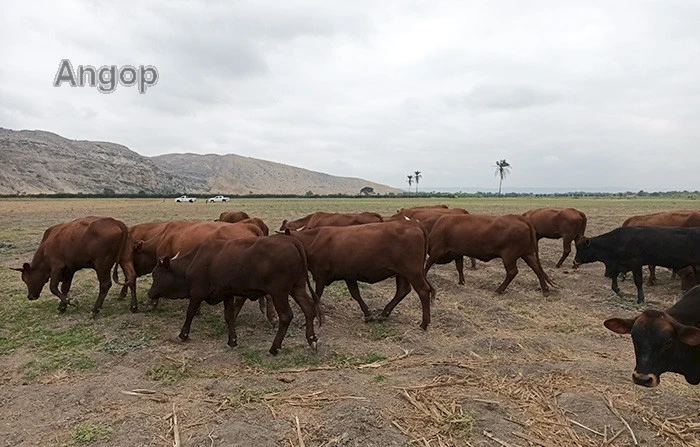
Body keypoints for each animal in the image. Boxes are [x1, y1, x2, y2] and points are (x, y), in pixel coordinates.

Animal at [150, 234, 322, 356]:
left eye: (155, 275)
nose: (149, 293)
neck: (193, 261)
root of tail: (291, 241)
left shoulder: (197, 293)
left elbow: (190, 313)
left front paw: (183, 335)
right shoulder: (227, 295)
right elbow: (229, 316)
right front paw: (232, 340)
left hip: (279, 293)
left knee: (286, 316)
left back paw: (274, 348)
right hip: (297, 288)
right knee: (308, 309)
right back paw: (312, 339)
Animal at [284, 220, 432, 328]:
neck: (313, 240)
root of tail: (414, 224)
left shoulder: (321, 275)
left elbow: (317, 296)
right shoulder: (349, 275)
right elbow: (356, 294)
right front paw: (368, 314)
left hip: (413, 271)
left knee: (423, 291)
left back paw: (424, 323)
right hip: (401, 273)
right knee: (402, 290)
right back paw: (384, 314)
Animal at [424, 214, 556, 296]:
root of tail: (519, 218)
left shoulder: (436, 251)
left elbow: (426, 266)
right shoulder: (457, 253)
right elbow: (459, 267)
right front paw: (461, 282)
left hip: (509, 256)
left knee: (512, 272)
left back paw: (499, 290)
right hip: (527, 254)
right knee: (537, 269)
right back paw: (545, 290)